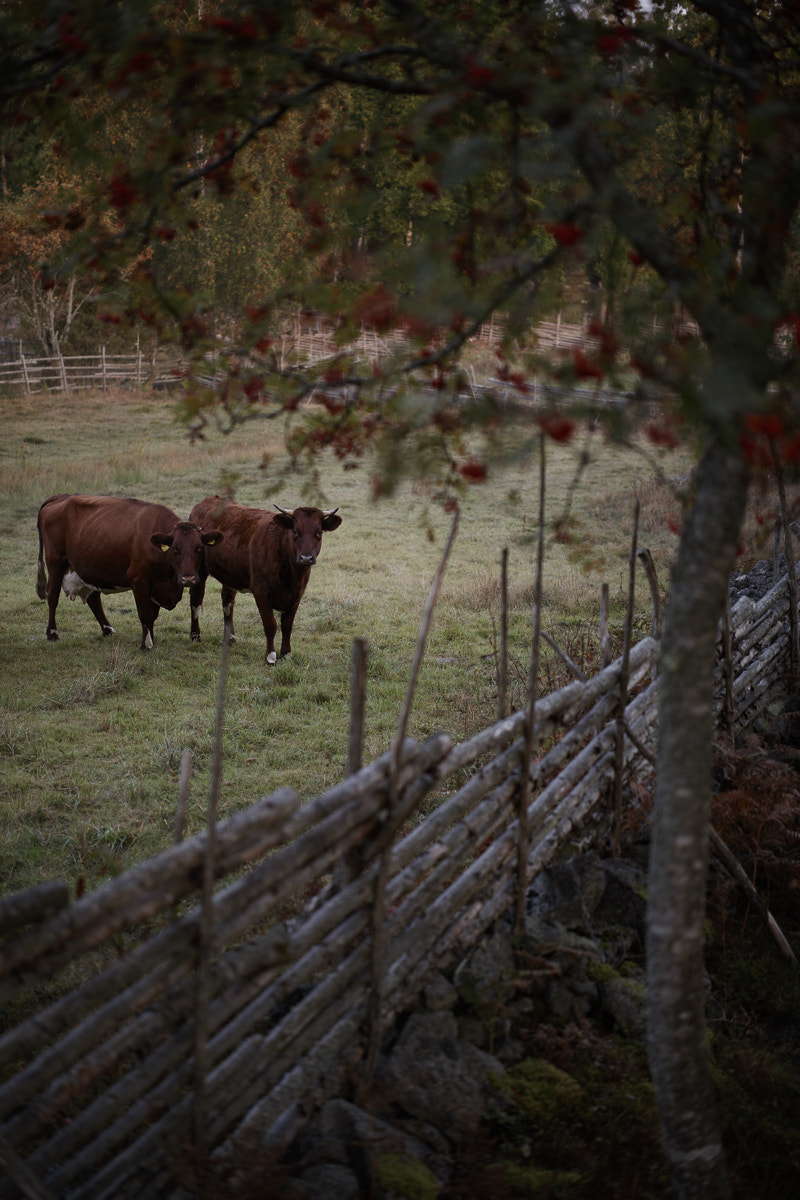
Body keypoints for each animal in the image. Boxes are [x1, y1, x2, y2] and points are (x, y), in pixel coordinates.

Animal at [36, 494, 224, 652]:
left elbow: (153, 615)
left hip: (87, 568)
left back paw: (108, 630)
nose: (188, 578)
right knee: (52, 596)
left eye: (199, 548)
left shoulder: (157, 586)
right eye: (174, 549)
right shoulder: (139, 582)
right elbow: (145, 614)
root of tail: (61, 497)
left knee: (93, 599)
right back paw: (52, 633)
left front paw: (151, 639)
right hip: (55, 562)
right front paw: (147, 644)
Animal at [189, 496, 343, 667]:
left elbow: (287, 625)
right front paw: (271, 656)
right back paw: (195, 635)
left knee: (227, 602)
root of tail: (208, 500)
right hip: (199, 571)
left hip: (229, 573)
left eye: (319, 532)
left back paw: (229, 638)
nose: (306, 558)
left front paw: (286, 654)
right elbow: (271, 625)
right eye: (295, 531)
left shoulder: (297, 594)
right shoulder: (261, 592)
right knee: (196, 601)